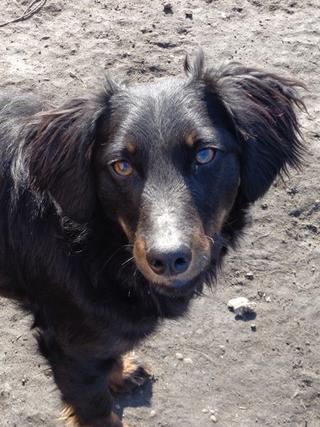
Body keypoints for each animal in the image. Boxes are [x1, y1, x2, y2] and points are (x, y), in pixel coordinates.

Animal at [0, 51, 304, 426]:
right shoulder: (72, 352)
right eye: (121, 166)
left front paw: (121, 372)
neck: (93, 245)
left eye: (205, 155)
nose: (169, 260)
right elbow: (99, 413)